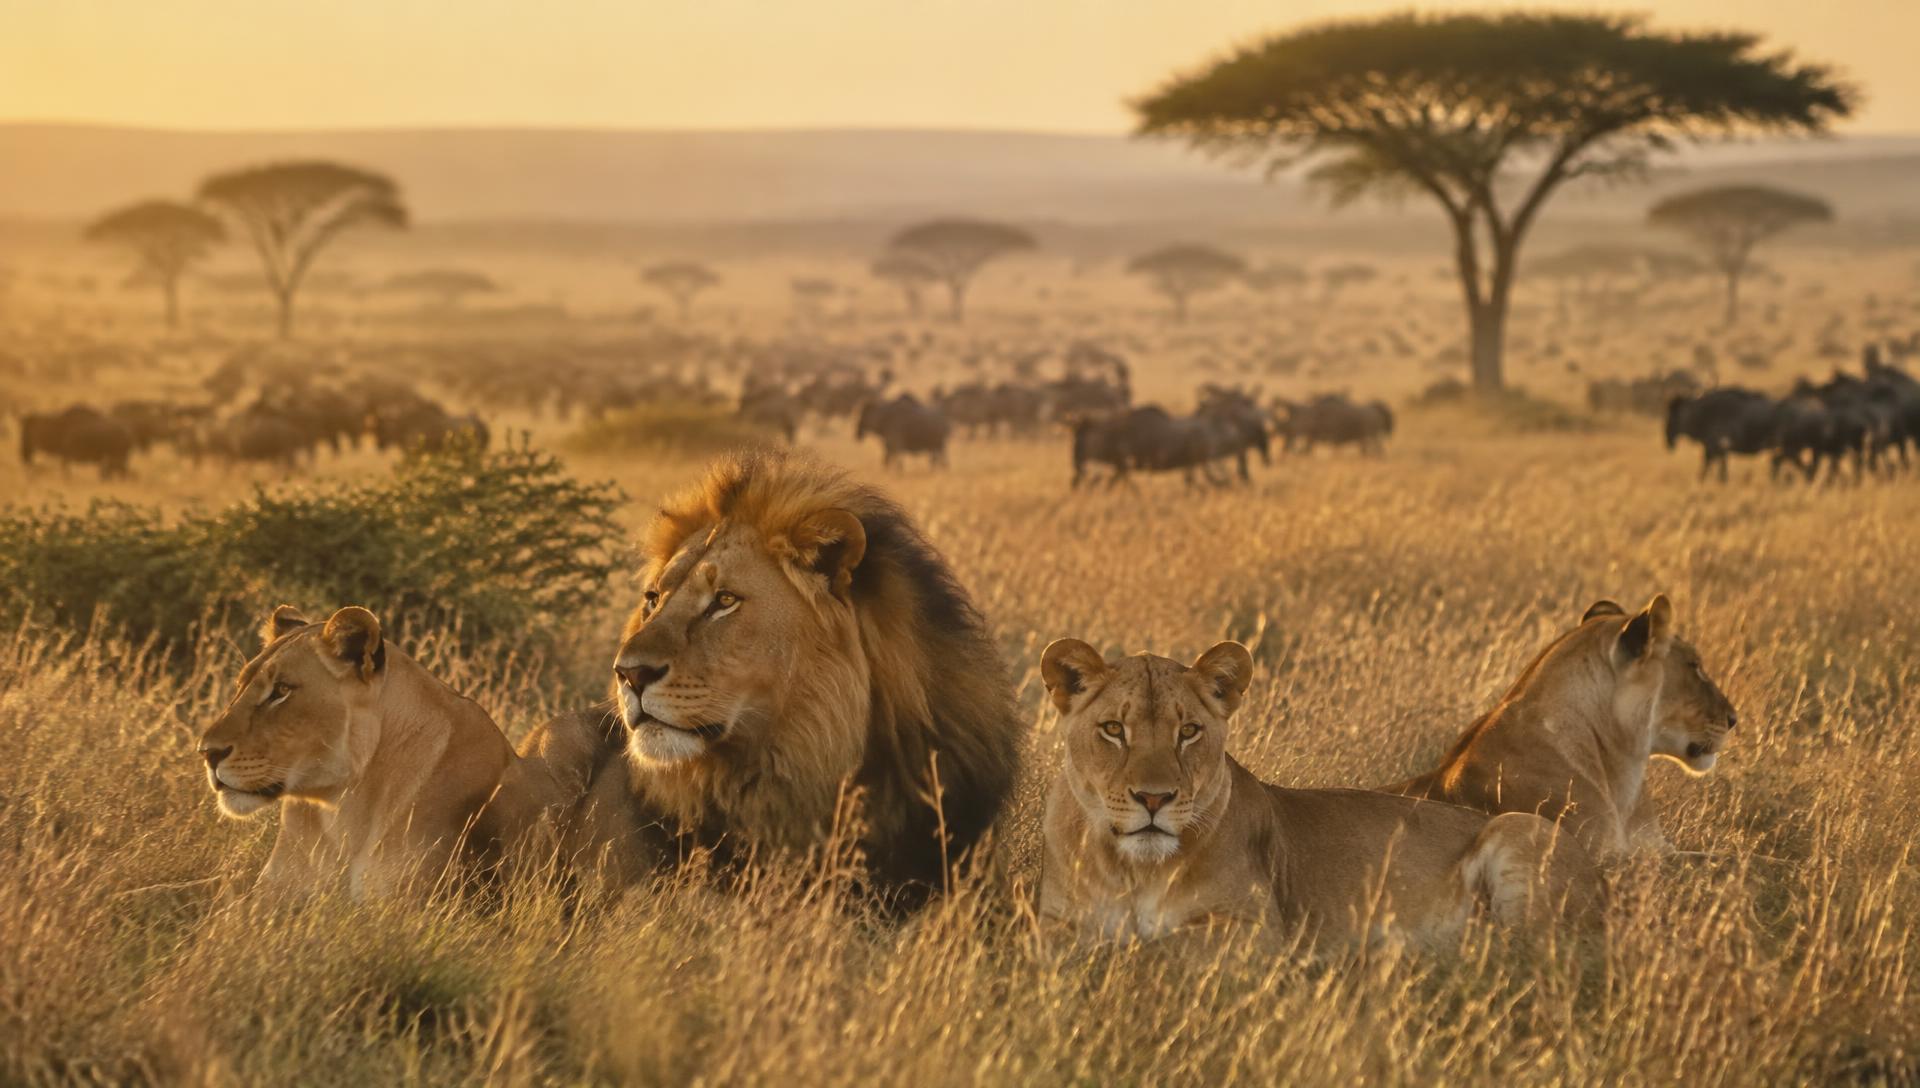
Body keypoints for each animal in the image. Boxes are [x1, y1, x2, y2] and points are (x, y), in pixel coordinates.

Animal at [1039, 639, 1598, 948]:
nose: (1154, 799)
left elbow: (1159, 952)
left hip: (1520, 830)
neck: (1135, 871)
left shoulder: (1258, 932)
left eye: (1189, 732)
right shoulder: (1051, 925)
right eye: (1114, 729)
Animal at [1383, 595, 1737, 858]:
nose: (1734, 719)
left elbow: (1724, 858)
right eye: (1694, 666)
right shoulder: (1606, 858)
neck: (1619, 774)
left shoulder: (1659, 848)